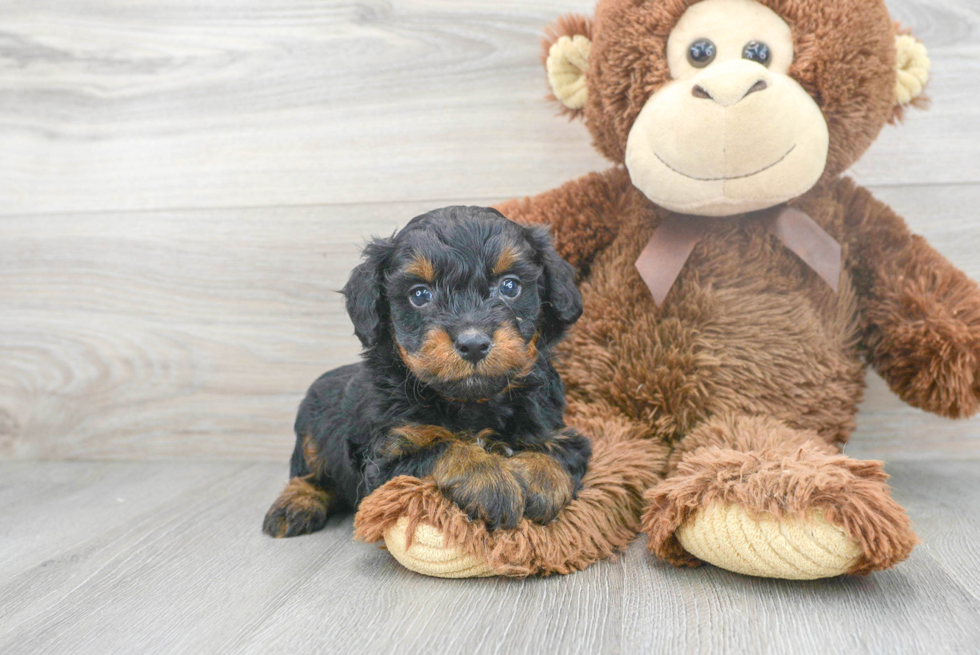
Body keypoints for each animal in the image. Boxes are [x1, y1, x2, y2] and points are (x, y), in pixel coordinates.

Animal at [260, 206, 592, 540]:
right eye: (420, 295)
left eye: (510, 286)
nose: (473, 343)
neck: (472, 404)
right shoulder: (386, 461)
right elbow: (443, 450)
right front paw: (490, 480)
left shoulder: (556, 429)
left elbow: (562, 451)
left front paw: (541, 480)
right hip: (310, 431)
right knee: (311, 475)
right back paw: (296, 504)